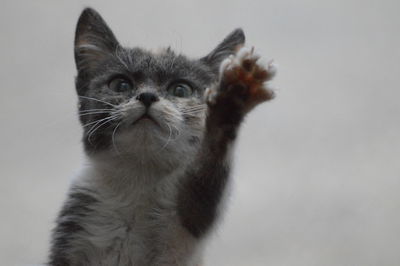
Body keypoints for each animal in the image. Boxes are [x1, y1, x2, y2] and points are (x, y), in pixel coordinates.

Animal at [47, 7, 276, 264]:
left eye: (181, 89)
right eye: (121, 85)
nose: (147, 96)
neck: (141, 175)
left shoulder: (186, 224)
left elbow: (205, 187)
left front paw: (231, 99)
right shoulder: (78, 222)